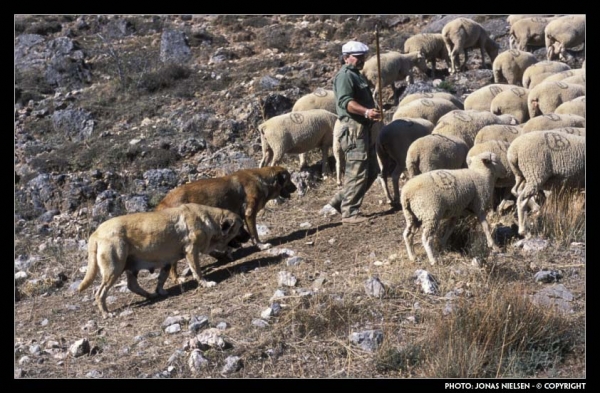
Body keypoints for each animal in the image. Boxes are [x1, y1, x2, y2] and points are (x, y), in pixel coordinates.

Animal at [78, 204, 247, 316]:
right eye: (241, 227)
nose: (249, 236)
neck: (210, 219)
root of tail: (95, 233)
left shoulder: (167, 261)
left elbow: (162, 278)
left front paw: (160, 291)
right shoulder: (192, 252)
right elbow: (197, 271)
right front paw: (205, 283)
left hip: (130, 267)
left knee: (132, 285)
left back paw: (150, 295)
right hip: (114, 269)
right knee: (100, 293)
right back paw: (106, 313)